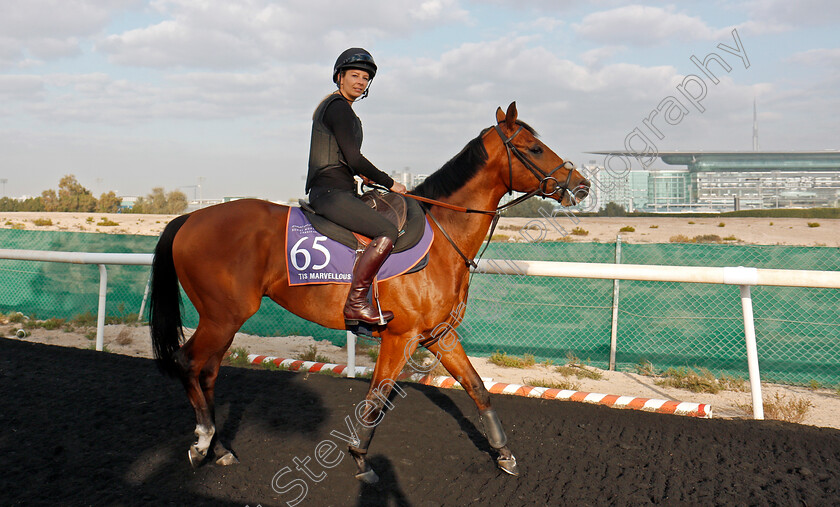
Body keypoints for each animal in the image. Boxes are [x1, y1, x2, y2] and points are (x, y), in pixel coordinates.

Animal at [148, 101, 592, 482]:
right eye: (534, 147)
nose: (583, 185)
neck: (442, 235)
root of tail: (189, 218)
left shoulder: (439, 335)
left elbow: (478, 388)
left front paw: (505, 455)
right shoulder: (401, 337)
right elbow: (377, 398)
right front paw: (360, 458)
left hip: (224, 319)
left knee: (208, 371)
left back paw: (220, 448)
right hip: (223, 316)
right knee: (190, 363)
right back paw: (203, 443)